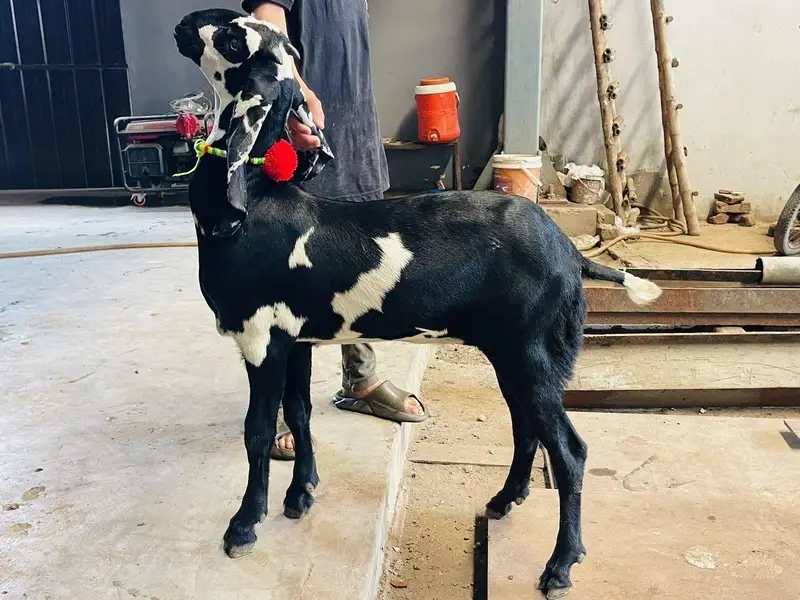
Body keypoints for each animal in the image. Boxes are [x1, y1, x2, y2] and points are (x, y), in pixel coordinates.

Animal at [174, 9, 661, 598]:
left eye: (231, 35)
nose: (185, 22)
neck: (256, 201)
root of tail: (569, 251)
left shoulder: (260, 338)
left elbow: (259, 430)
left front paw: (244, 525)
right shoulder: (298, 338)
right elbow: (301, 412)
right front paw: (301, 493)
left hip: (534, 356)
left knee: (569, 452)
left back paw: (561, 564)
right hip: (512, 356)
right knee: (526, 428)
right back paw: (504, 501)